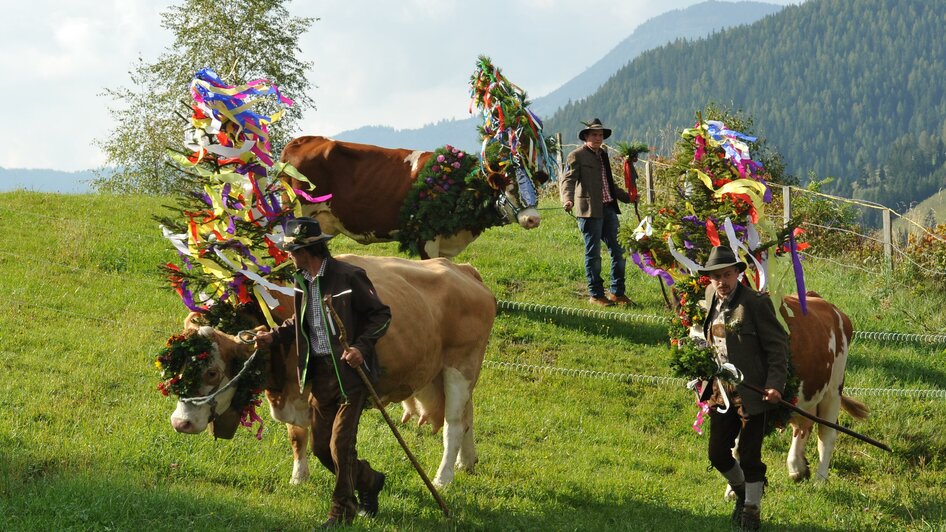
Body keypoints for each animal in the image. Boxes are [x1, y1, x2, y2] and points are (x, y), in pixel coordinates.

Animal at [163, 256, 498, 488]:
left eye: (212, 373)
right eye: (176, 368)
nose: (180, 423)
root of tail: (462, 269)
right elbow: (297, 437)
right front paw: (299, 477)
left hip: (460, 367)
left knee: (454, 424)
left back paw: (444, 477)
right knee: (467, 415)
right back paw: (467, 462)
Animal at [280, 137, 544, 260]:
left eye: (536, 190)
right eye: (511, 189)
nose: (534, 219)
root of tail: (306, 139)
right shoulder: (426, 237)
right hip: (302, 218)